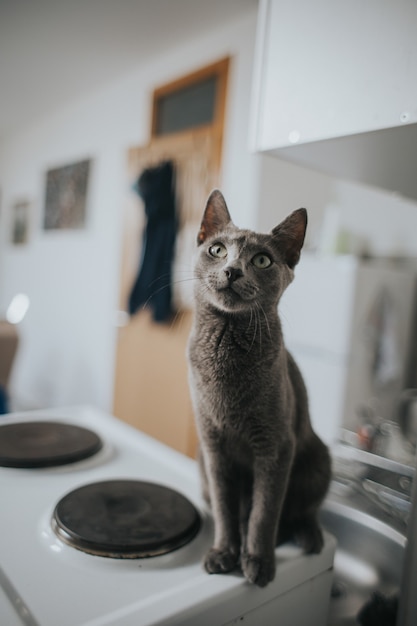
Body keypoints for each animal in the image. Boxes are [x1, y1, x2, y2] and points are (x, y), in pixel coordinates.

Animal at [187, 189, 330, 584]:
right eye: (217, 250)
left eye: (262, 260)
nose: (232, 270)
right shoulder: (214, 447)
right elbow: (225, 508)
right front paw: (224, 552)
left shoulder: (276, 446)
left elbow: (264, 511)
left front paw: (259, 561)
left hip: (318, 461)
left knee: (302, 510)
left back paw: (308, 537)